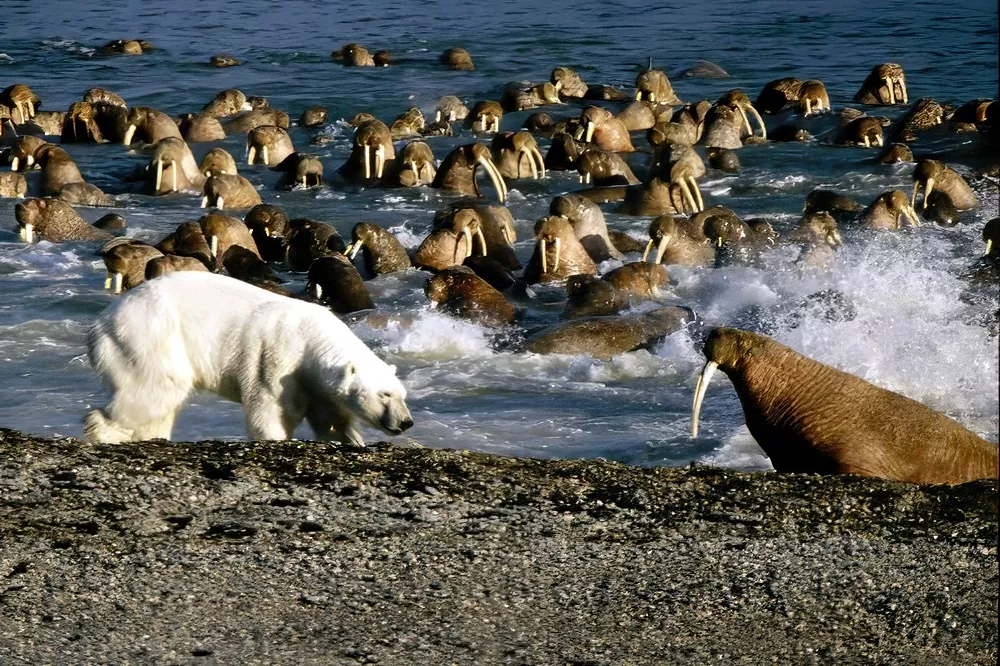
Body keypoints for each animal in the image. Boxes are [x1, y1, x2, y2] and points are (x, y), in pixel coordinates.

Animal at [84, 268, 412, 444]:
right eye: (384, 395)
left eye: (401, 394)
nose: (406, 422)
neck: (311, 338)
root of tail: (100, 322)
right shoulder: (278, 358)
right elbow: (272, 409)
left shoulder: (317, 384)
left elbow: (330, 417)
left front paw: (351, 439)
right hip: (149, 336)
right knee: (157, 388)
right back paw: (103, 430)